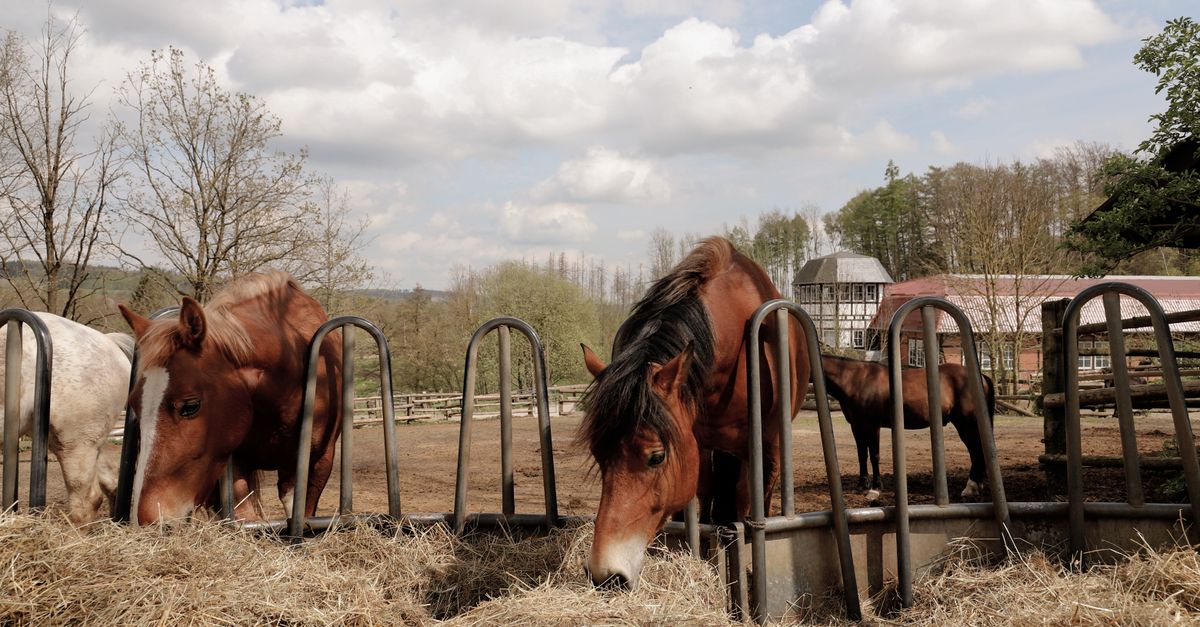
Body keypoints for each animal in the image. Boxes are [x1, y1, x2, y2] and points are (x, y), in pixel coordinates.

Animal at [578, 236, 806, 590]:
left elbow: (747, 508)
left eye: (657, 457)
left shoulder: (762, 450)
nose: (606, 575)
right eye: (598, 454)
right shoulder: (694, 445)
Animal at [820, 355, 995, 501]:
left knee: (976, 450)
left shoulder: (872, 426)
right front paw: (862, 485)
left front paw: (875, 489)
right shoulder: (857, 425)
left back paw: (970, 487)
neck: (856, 380)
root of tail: (982, 377)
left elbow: (874, 456)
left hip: (966, 424)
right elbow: (862, 455)